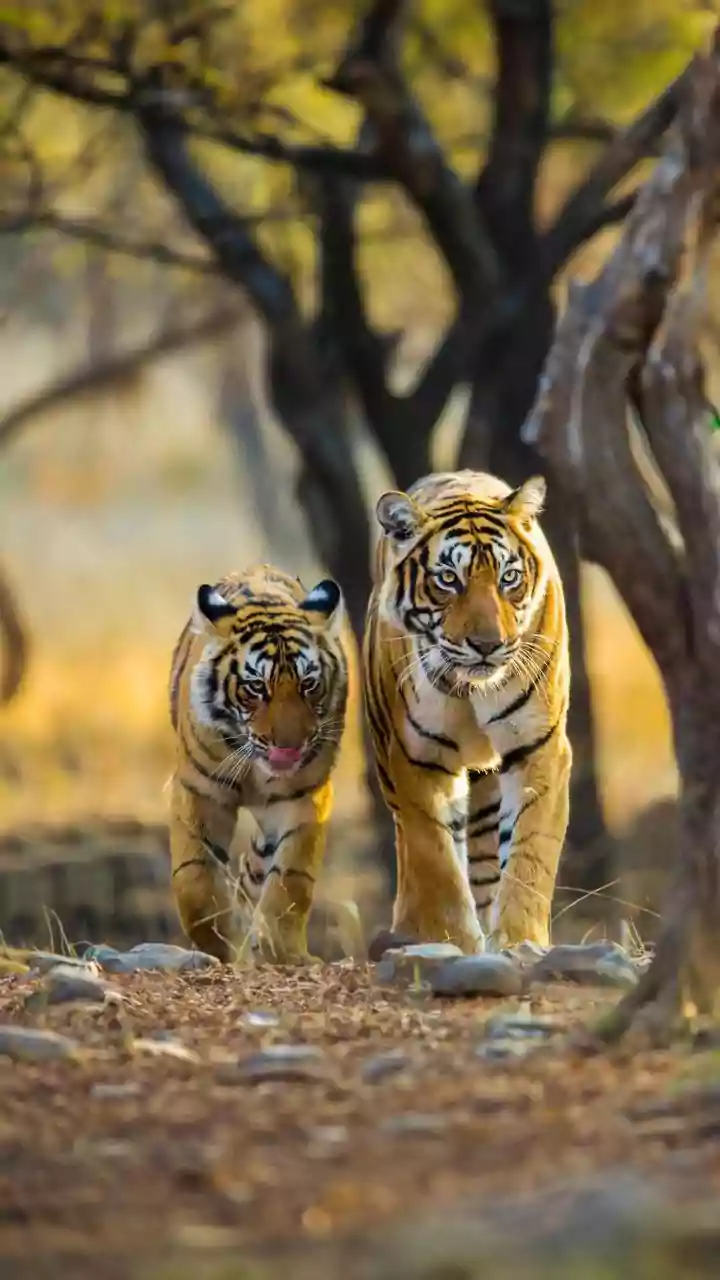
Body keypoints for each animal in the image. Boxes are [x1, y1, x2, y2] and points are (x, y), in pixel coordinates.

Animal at [168, 564, 349, 964]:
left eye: (309, 684)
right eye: (255, 688)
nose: (290, 747)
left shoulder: (304, 797)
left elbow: (290, 879)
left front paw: (282, 952)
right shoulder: (199, 790)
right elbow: (195, 880)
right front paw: (222, 946)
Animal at [363, 469, 571, 955]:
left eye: (509, 578)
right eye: (447, 579)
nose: (488, 645)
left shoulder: (539, 749)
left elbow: (530, 853)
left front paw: (519, 940)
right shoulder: (417, 758)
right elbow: (435, 858)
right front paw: (449, 939)